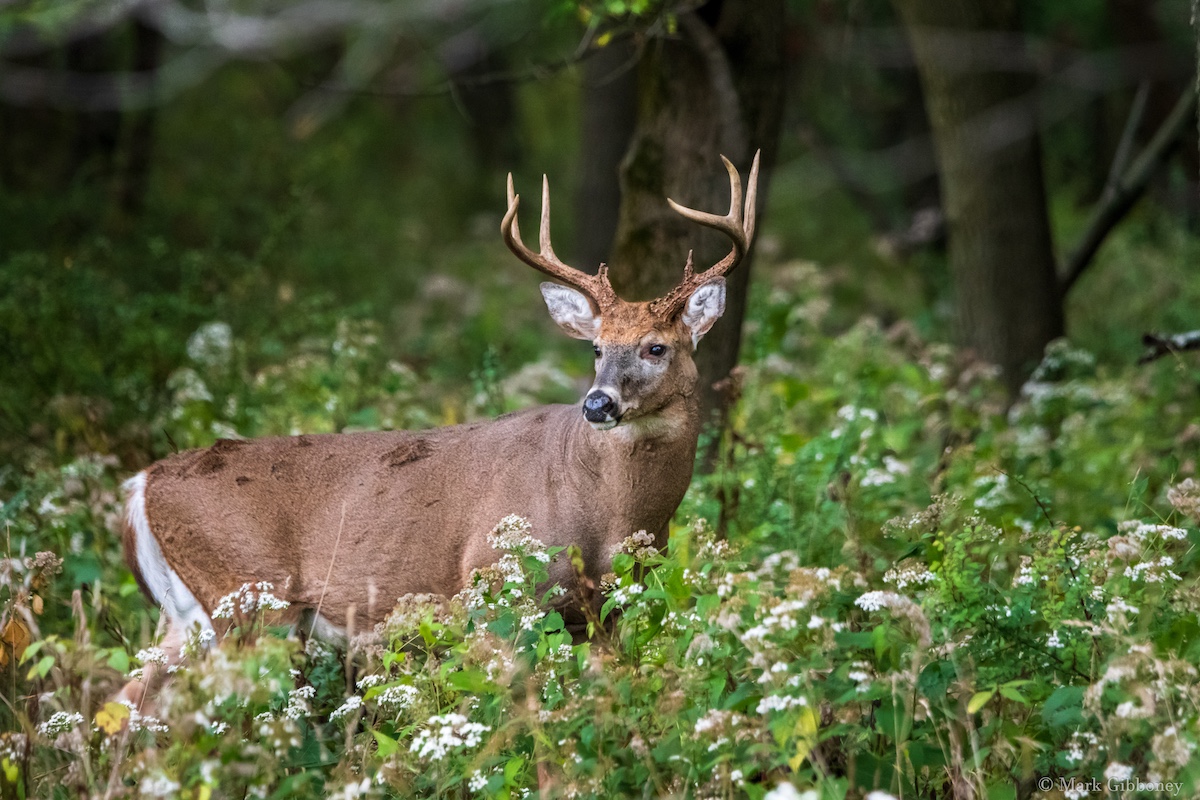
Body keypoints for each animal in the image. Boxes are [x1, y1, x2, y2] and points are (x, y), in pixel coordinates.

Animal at [117, 152, 759, 705]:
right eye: (596, 348)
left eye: (657, 347)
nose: (597, 404)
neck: (608, 512)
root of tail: (140, 487)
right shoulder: (494, 588)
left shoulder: (604, 613)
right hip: (245, 601)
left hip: (192, 617)